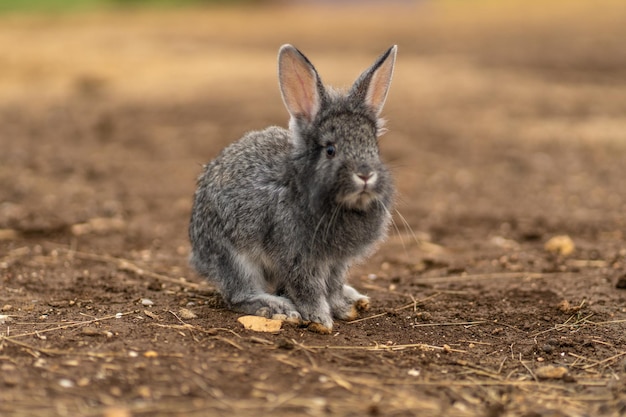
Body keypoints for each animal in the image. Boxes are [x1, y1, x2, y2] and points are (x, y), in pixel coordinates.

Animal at [188, 44, 398, 334]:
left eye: (374, 147)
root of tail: (198, 255)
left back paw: (354, 298)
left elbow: (332, 285)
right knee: (239, 294)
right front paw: (320, 319)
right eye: (330, 150)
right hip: (234, 258)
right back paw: (278, 308)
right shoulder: (298, 257)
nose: (365, 174)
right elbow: (308, 288)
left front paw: (341, 308)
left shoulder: (337, 262)